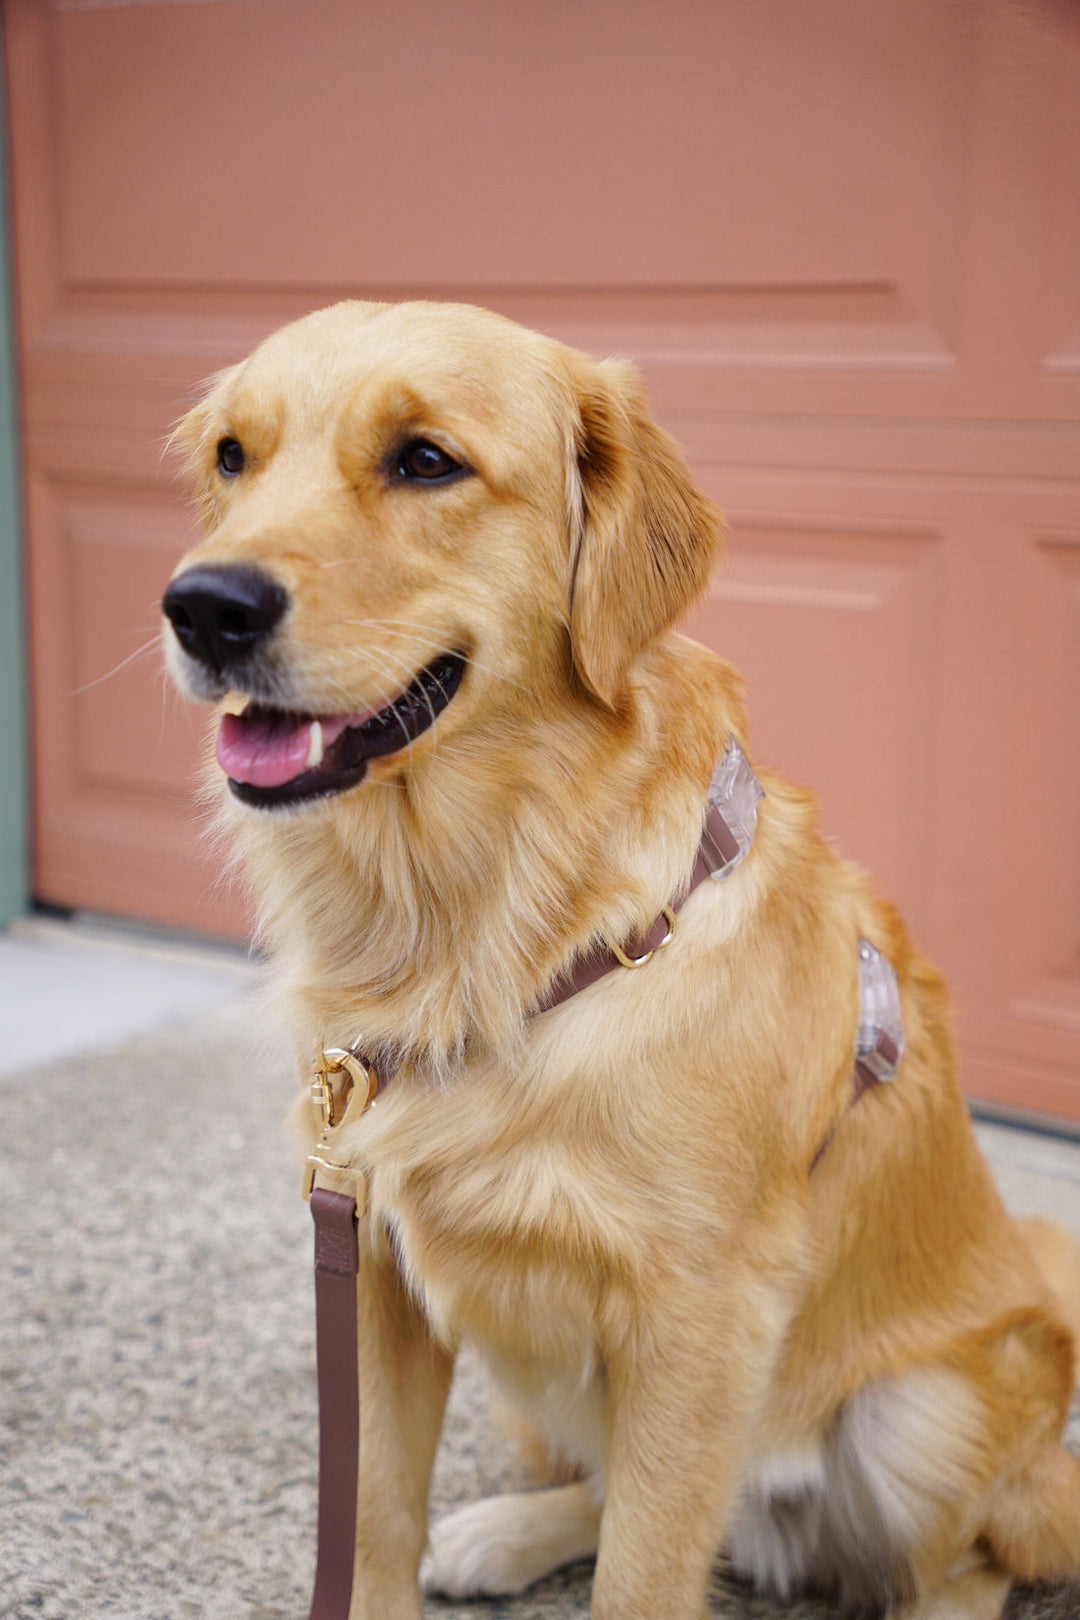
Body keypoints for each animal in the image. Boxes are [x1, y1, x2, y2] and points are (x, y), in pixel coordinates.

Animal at [160, 304, 1080, 1620]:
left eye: (426, 461)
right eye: (235, 456)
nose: (202, 606)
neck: (488, 929)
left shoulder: (699, 1321)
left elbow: (643, 1577)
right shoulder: (375, 1258)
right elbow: (376, 1515)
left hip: (927, 1410)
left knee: (969, 1560)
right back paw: (507, 1533)